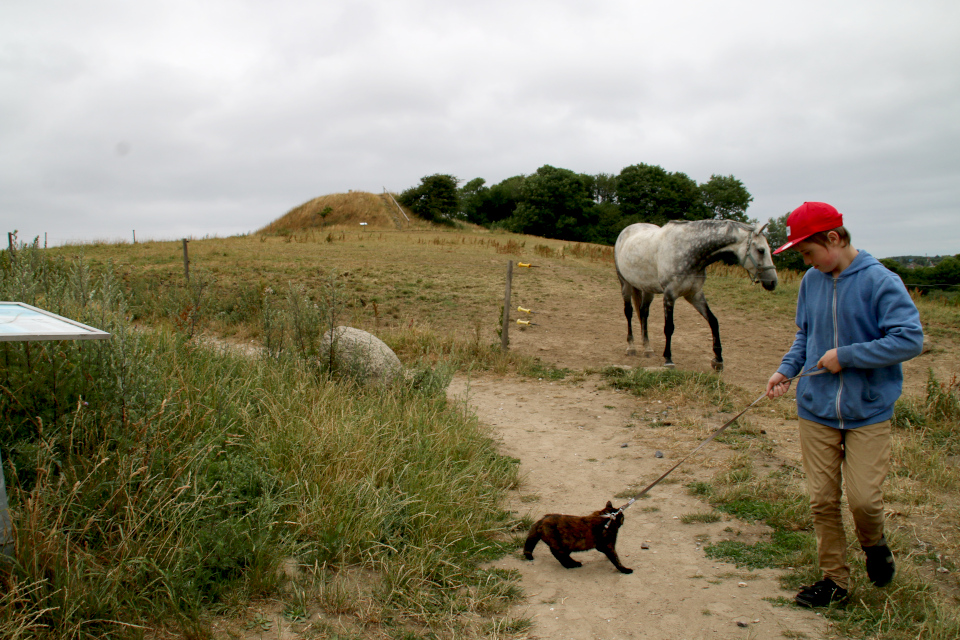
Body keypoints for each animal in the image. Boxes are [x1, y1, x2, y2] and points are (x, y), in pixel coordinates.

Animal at [616, 220, 780, 370]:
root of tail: (627, 229)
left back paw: (647, 348)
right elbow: (669, 327)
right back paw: (631, 347)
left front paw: (718, 359)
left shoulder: (694, 294)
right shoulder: (669, 295)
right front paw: (668, 359)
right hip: (625, 284)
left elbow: (713, 321)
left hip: (647, 288)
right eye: (761, 250)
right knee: (629, 312)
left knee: (643, 313)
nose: (773, 282)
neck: (689, 250)